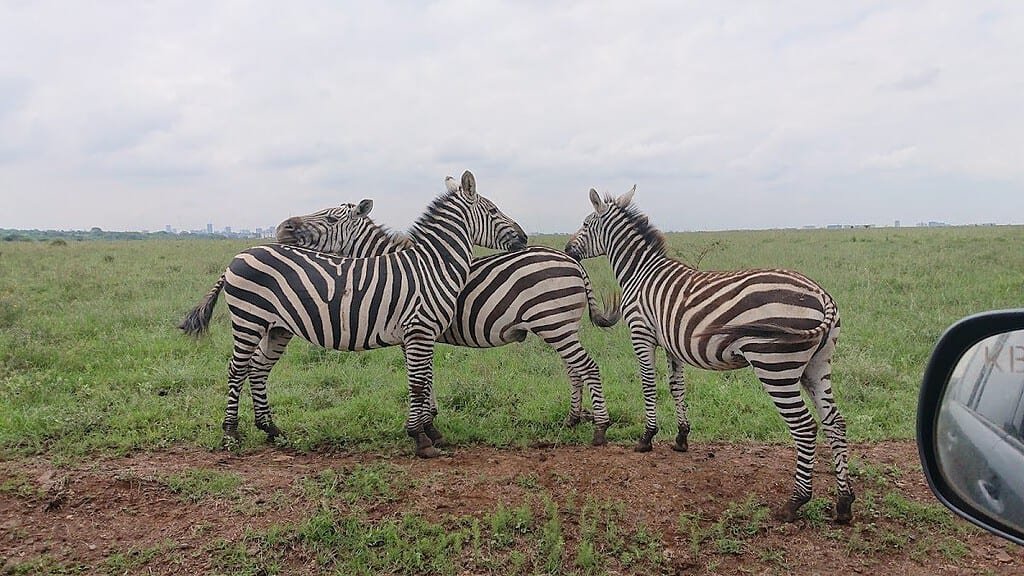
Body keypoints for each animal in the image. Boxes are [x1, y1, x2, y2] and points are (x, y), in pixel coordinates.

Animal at [179, 171, 527, 458]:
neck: (432, 266)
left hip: (276, 327)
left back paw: (272, 430)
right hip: (248, 321)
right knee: (236, 370)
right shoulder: (418, 330)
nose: (524, 237)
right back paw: (231, 435)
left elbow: (426, 380)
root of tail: (238, 255)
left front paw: (431, 430)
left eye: (332, 218)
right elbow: (418, 383)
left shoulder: (420, 335)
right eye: (494, 211)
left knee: (258, 369)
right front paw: (421, 439)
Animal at [274, 199, 621, 445]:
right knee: (574, 370)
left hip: (555, 324)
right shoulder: (419, 333)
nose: (281, 229)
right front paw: (431, 420)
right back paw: (572, 420)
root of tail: (572, 261)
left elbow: (421, 378)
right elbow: (426, 376)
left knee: (585, 368)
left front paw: (426, 422)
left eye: (331, 218)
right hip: (559, 326)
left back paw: (599, 427)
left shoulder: (411, 333)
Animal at [564, 186, 854, 524]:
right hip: (817, 365)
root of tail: (822, 295)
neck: (640, 273)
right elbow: (676, 387)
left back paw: (795, 502)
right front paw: (681, 438)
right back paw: (844, 503)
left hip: (775, 366)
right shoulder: (671, 342)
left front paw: (647, 438)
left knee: (805, 427)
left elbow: (649, 384)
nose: (567, 249)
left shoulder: (641, 332)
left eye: (586, 223)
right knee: (835, 422)